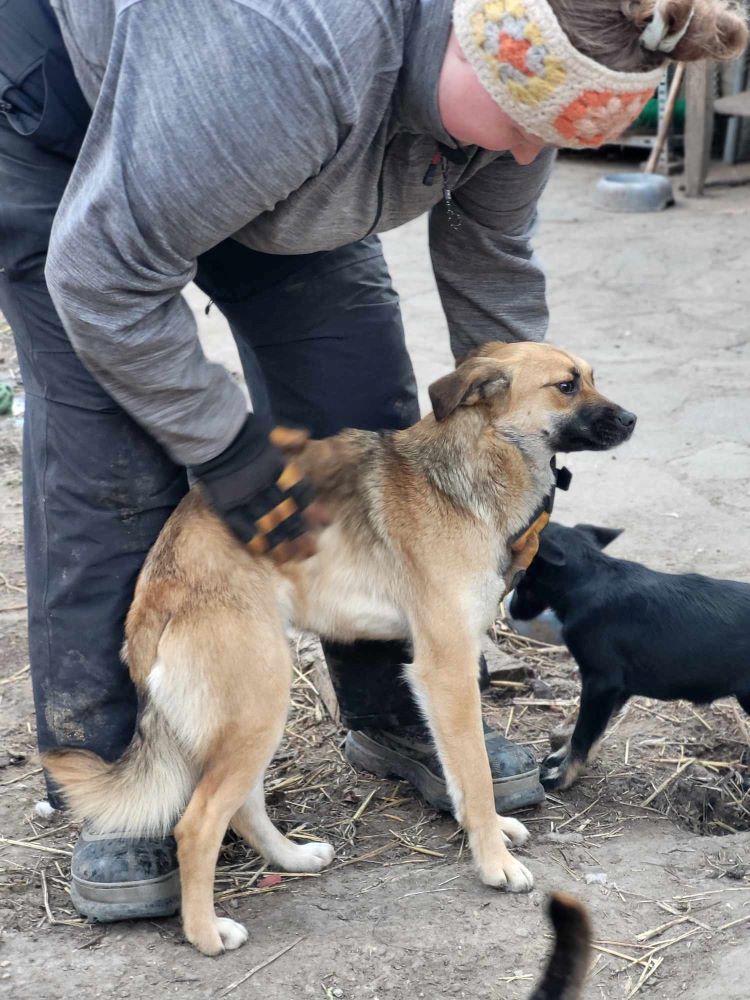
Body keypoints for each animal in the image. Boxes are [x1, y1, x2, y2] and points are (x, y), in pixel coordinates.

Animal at [44, 342, 636, 952]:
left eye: (591, 378)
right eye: (566, 386)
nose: (632, 420)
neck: (469, 464)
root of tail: (159, 580)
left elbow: (459, 773)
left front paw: (488, 831)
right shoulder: (445, 669)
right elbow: (473, 773)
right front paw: (494, 862)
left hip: (254, 711)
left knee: (243, 806)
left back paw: (292, 857)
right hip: (260, 702)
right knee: (198, 822)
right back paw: (206, 933)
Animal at [508, 524, 750, 788]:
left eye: (521, 576)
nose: (511, 610)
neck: (587, 577)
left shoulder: (601, 682)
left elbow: (583, 733)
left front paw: (562, 777)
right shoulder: (618, 689)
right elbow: (589, 732)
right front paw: (562, 757)